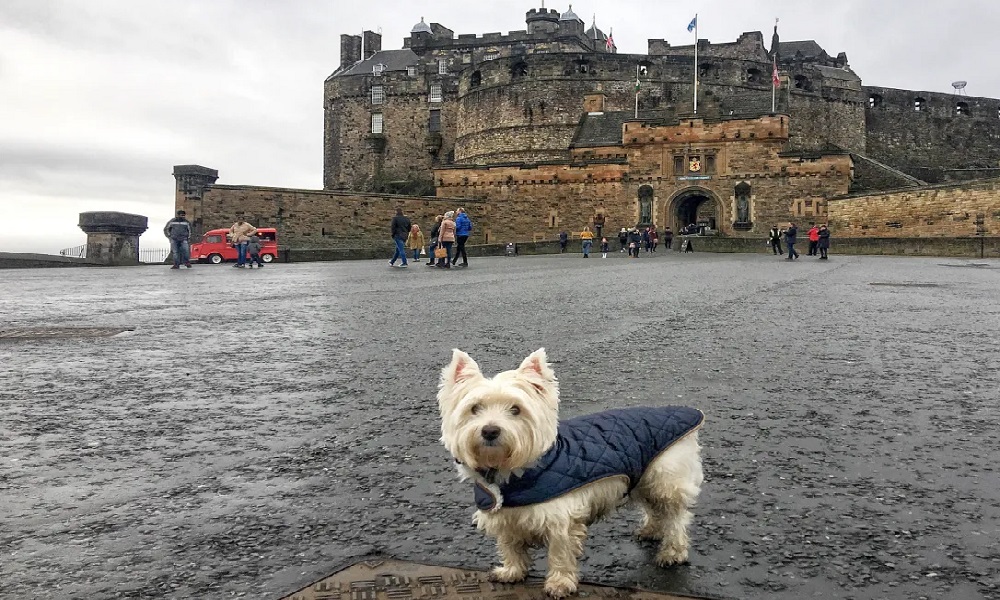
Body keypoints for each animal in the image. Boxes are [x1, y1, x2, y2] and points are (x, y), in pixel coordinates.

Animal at [438, 350, 704, 596]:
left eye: (516, 409)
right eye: (475, 408)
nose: (490, 430)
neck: (512, 472)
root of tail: (685, 411)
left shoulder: (561, 519)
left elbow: (560, 553)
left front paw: (560, 583)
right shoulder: (505, 516)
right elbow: (510, 546)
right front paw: (512, 571)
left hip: (664, 478)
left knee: (675, 516)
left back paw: (672, 552)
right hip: (642, 476)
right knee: (654, 507)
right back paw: (651, 531)